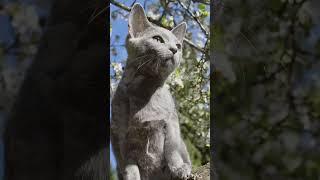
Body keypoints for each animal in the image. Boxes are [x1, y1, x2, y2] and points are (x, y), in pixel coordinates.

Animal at [112, 3, 191, 180]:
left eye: (178, 45)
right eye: (157, 39)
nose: (174, 50)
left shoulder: (171, 123)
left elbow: (171, 151)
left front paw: (179, 169)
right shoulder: (120, 138)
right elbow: (129, 166)